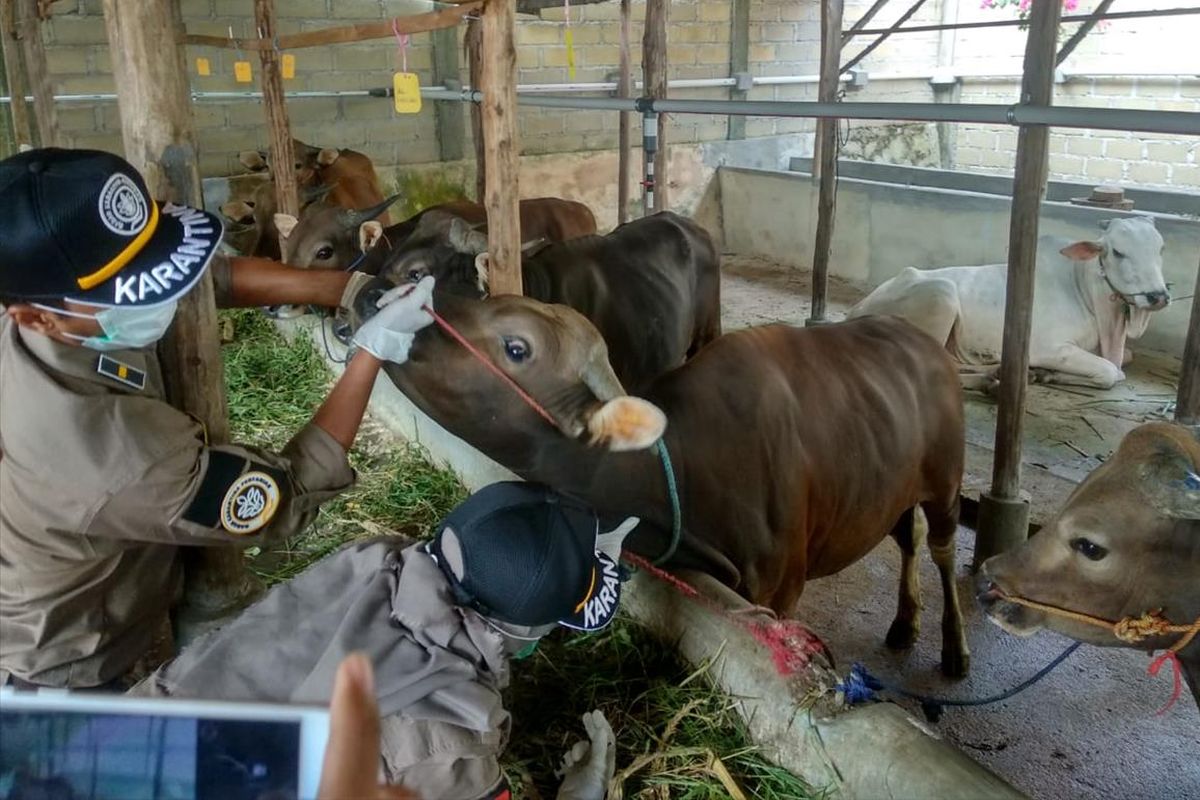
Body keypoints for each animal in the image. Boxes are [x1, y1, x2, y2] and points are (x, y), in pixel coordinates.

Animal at [350, 287, 969, 676]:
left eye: (517, 347)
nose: (374, 292)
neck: (690, 473)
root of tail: (927, 345)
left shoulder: (782, 588)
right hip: (891, 492)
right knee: (909, 539)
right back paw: (904, 622)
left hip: (945, 482)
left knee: (941, 548)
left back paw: (955, 649)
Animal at [849, 217, 1166, 388]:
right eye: (1118, 252)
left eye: (1161, 248)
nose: (1158, 295)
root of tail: (857, 309)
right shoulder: (1047, 347)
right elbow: (1111, 372)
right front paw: (1050, 373)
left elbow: (1125, 360)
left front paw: (1044, 374)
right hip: (941, 294)